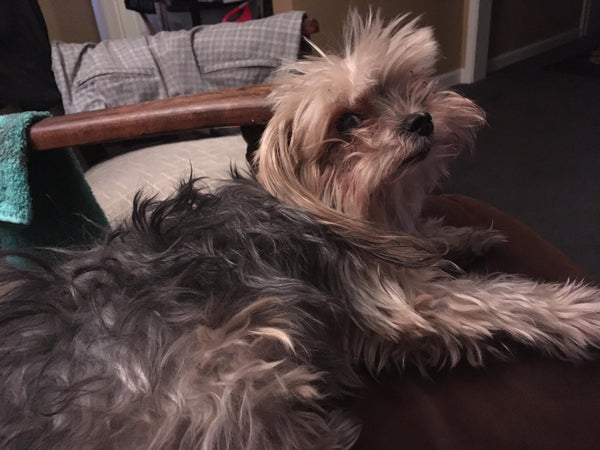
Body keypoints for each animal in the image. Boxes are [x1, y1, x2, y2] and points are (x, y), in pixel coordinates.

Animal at [0, 9, 596, 450]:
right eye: (347, 122)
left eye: (408, 86)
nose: (421, 119)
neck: (342, 207)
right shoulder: (405, 300)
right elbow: (498, 299)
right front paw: (574, 311)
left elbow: (425, 239)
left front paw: (461, 238)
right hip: (234, 370)